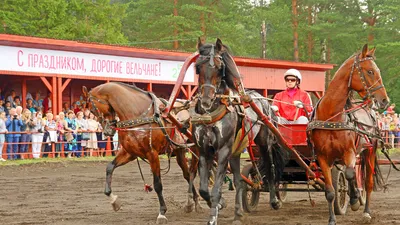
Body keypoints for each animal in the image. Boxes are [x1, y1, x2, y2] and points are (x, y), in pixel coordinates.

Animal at [81, 83, 202, 225]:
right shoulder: (130, 153)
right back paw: (192, 202)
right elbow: (110, 167)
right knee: (187, 175)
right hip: (179, 151)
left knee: (192, 173)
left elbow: (157, 184)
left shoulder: (152, 154)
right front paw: (114, 200)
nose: (107, 131)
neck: (137, 115)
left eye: (91, 109)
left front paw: (162, 213)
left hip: (195, 149)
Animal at [194, 37, 288, 224]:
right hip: (236, 150)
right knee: (239, 179)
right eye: (198, 67)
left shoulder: (223, 150)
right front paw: (220, 204)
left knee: (270, 168)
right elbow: (204, 189)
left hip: (264, 142)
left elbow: (216, 189)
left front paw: (213, 217)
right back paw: (238, 213)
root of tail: (261, 99)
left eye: (219, 67)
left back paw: (274, 200)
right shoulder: (204, 150)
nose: (206, 101)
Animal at [308, 44, 390, 225]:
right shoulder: (322, 157)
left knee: (367, 182)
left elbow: (350, 174)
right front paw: (332, 219)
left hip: (369, 151)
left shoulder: (349, 152)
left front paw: (354, 199)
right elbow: (330, 191)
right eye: (370, 71)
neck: (331, 115)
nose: (385, 101)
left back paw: (365, 210)